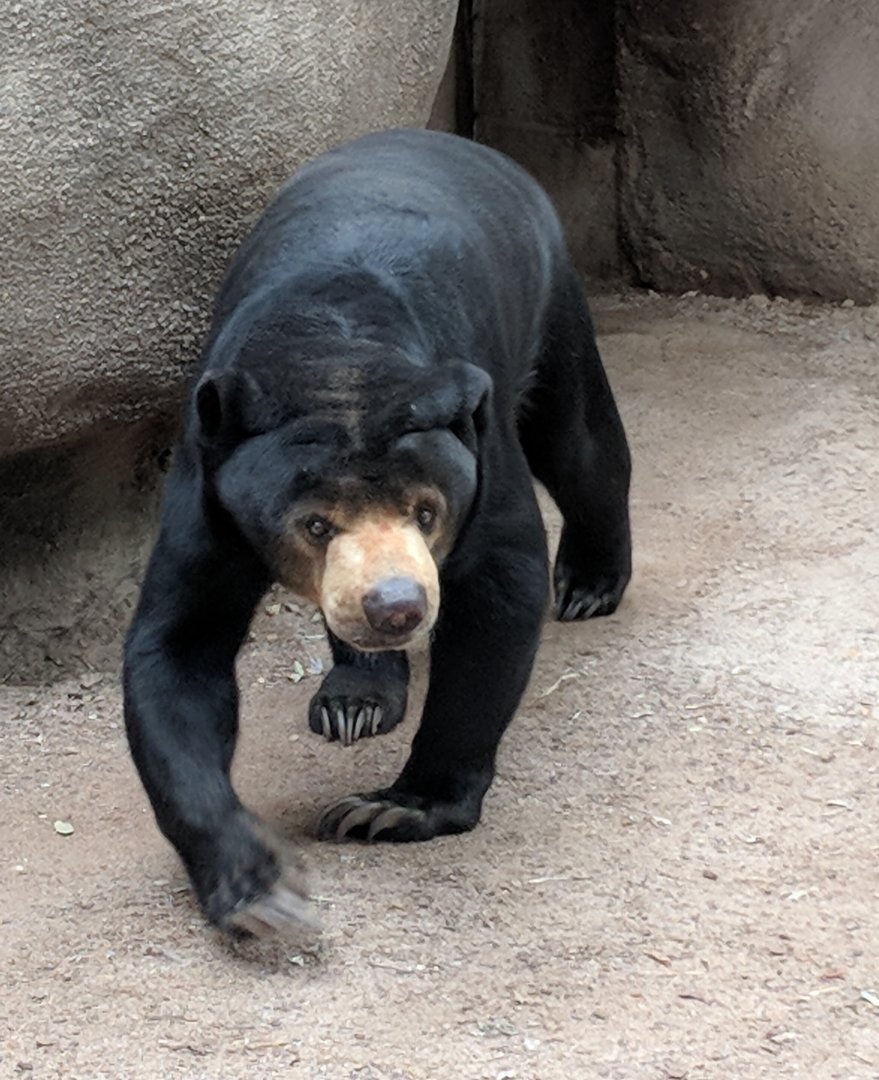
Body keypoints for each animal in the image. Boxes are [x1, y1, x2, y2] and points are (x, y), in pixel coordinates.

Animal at [123, 128, 631, 937]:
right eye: (315, 524)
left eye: (427, 510)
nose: (396, 606)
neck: (334, 353)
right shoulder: (207, 488)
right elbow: (179, 650)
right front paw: (260, 888)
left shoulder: (479, 442)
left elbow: (498, 593)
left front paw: (389, 809)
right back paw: (354, 699)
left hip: (550, 293)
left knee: (579, 442)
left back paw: (590, 585)